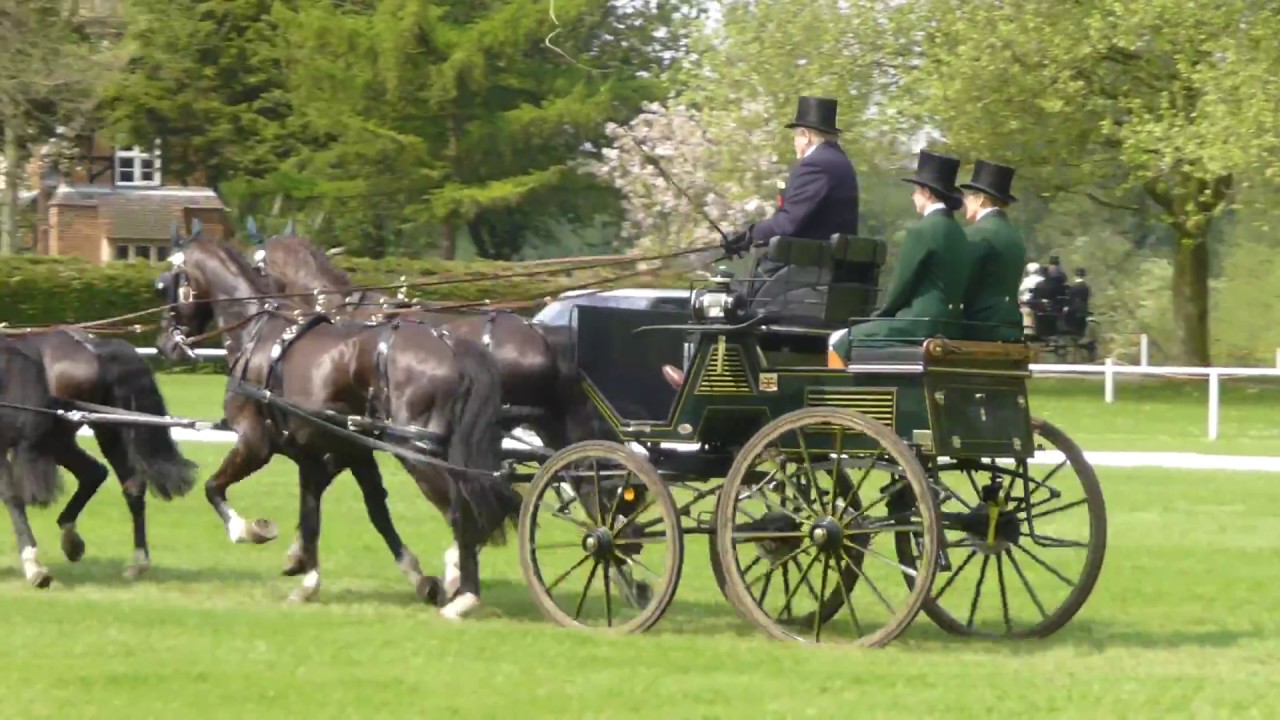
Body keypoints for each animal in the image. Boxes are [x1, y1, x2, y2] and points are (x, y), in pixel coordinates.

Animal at [5, 329, 198, 583]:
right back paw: (131, 560)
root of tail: (93, 347)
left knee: (93, 474)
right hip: (104, 431)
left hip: (58, 440)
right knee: (120, 482)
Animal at [154, 230, 521, 619]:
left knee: (463, 511)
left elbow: (213, 487)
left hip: (415, 451)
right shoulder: (333, 453)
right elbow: (338, 514)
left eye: (164, 285)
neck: (257, 333)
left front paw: (250, 531)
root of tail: (452, 347)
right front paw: (311, 580)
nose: (164, 345)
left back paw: (465, 594)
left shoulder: (255, 443)